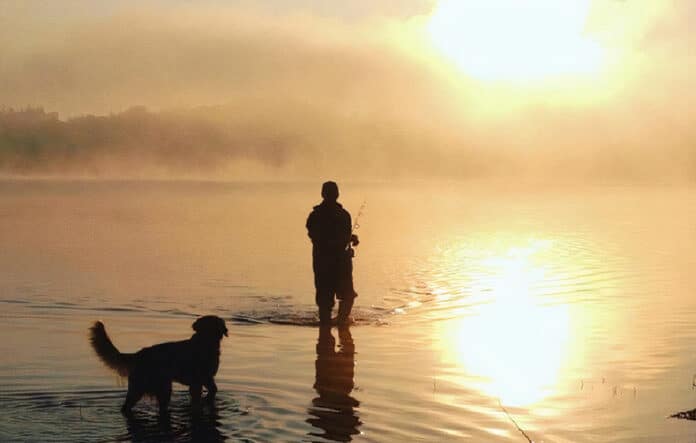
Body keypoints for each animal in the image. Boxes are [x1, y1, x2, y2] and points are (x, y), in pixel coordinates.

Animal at [88, 316, 230, 416]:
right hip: (154, 388)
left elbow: (212, 390)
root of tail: (138, 354)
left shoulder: (205, 380)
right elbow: (207, 393)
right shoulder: (200, 380)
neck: (204, 343)